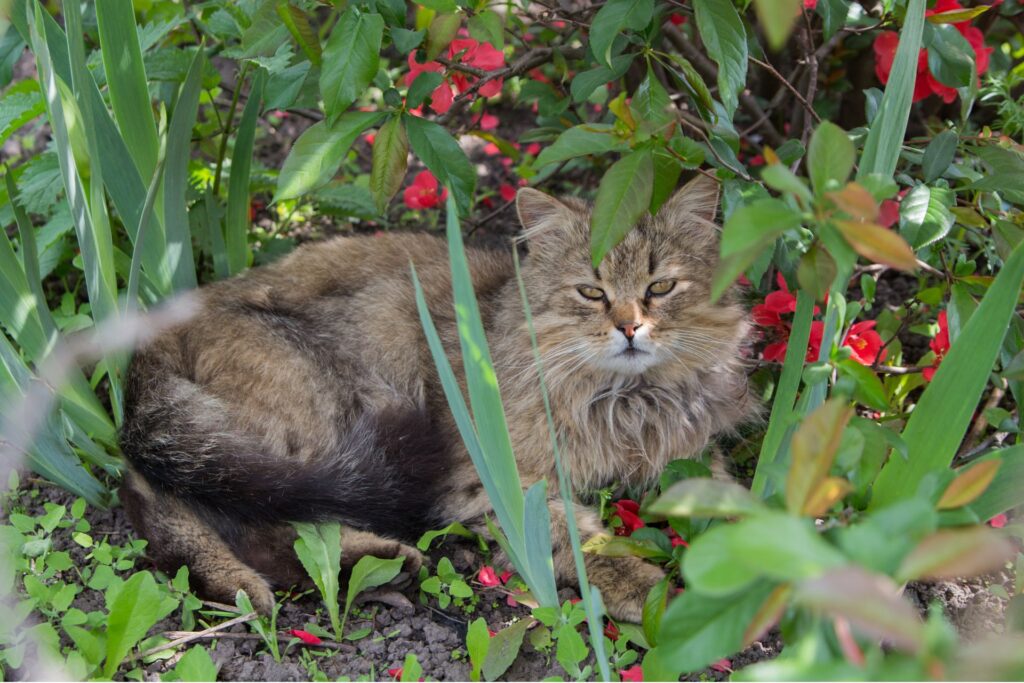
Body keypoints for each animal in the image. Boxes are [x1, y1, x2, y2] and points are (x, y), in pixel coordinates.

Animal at [119, 176, 757, 626]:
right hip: (326, 417)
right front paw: (649, 589)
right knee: (184, 502)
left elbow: (739, 506)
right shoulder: (495, 487)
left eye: (660, 287)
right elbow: (579, 537)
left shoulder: (692, 457)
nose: (629, 328)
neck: (626, 403)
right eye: (592, 292)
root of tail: (168, 321)